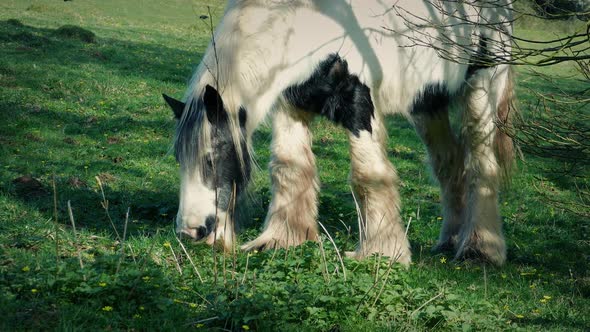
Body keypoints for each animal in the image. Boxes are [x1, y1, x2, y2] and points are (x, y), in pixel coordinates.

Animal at [164, 0, 516, 264]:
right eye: (180, 161)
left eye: (210, 159)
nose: (189, 231)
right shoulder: (292, 103)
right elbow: (289, 168)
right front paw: (282, 238)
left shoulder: (359, 104)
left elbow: (368, 176)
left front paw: (381, 252)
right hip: (427, 104)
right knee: (449, 165)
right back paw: (449, 240)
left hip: (482, 88)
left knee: (482, 166)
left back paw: (480, 249)